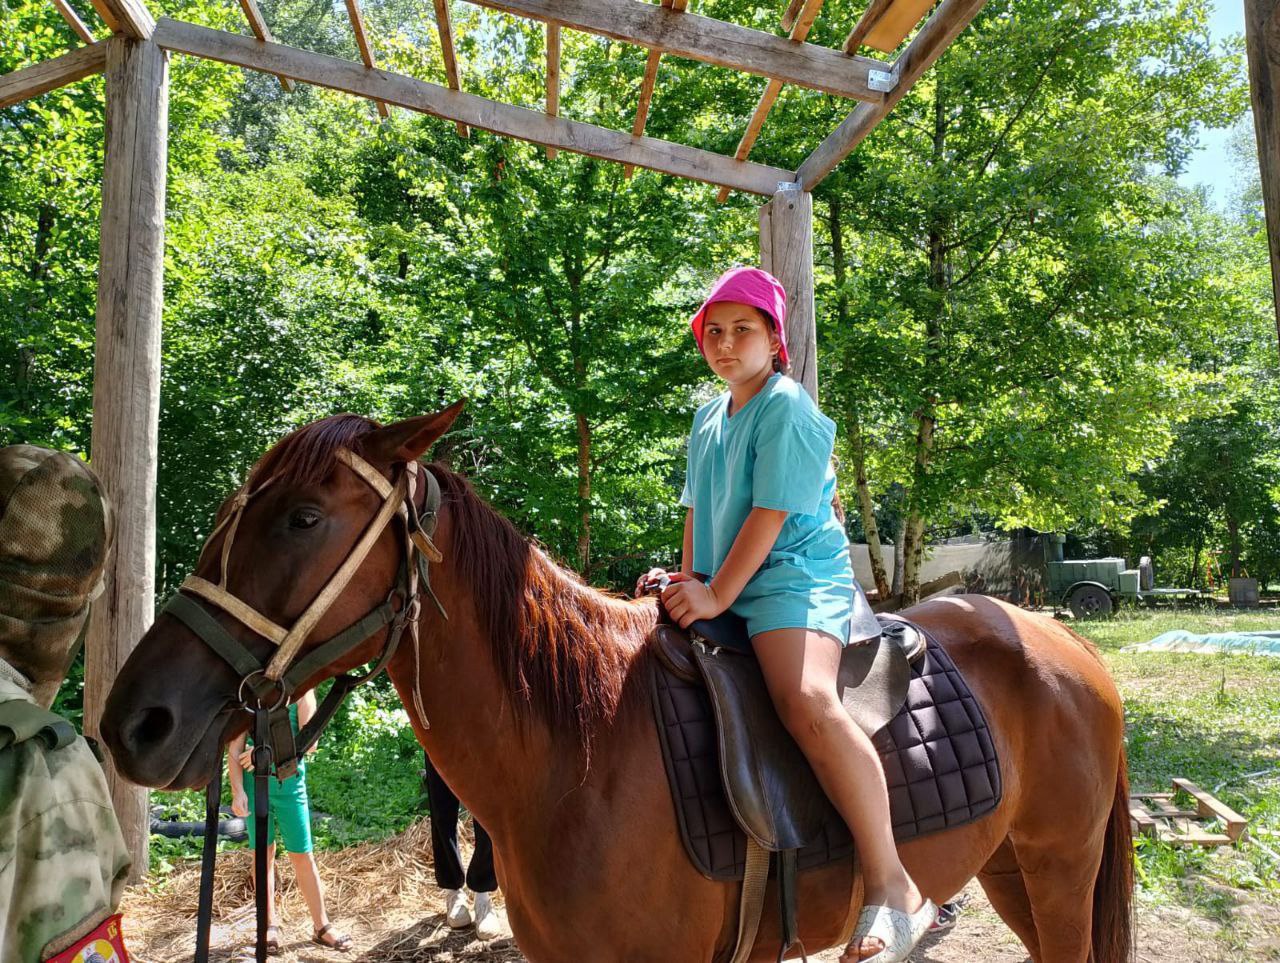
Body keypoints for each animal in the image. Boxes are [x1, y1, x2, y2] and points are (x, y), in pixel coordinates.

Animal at [104, 407, 1136, 962]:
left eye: (304, 517)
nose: (135, 720)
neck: (579, 749)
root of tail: (1063, 641)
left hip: (1059, 867)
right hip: (1011, 868)